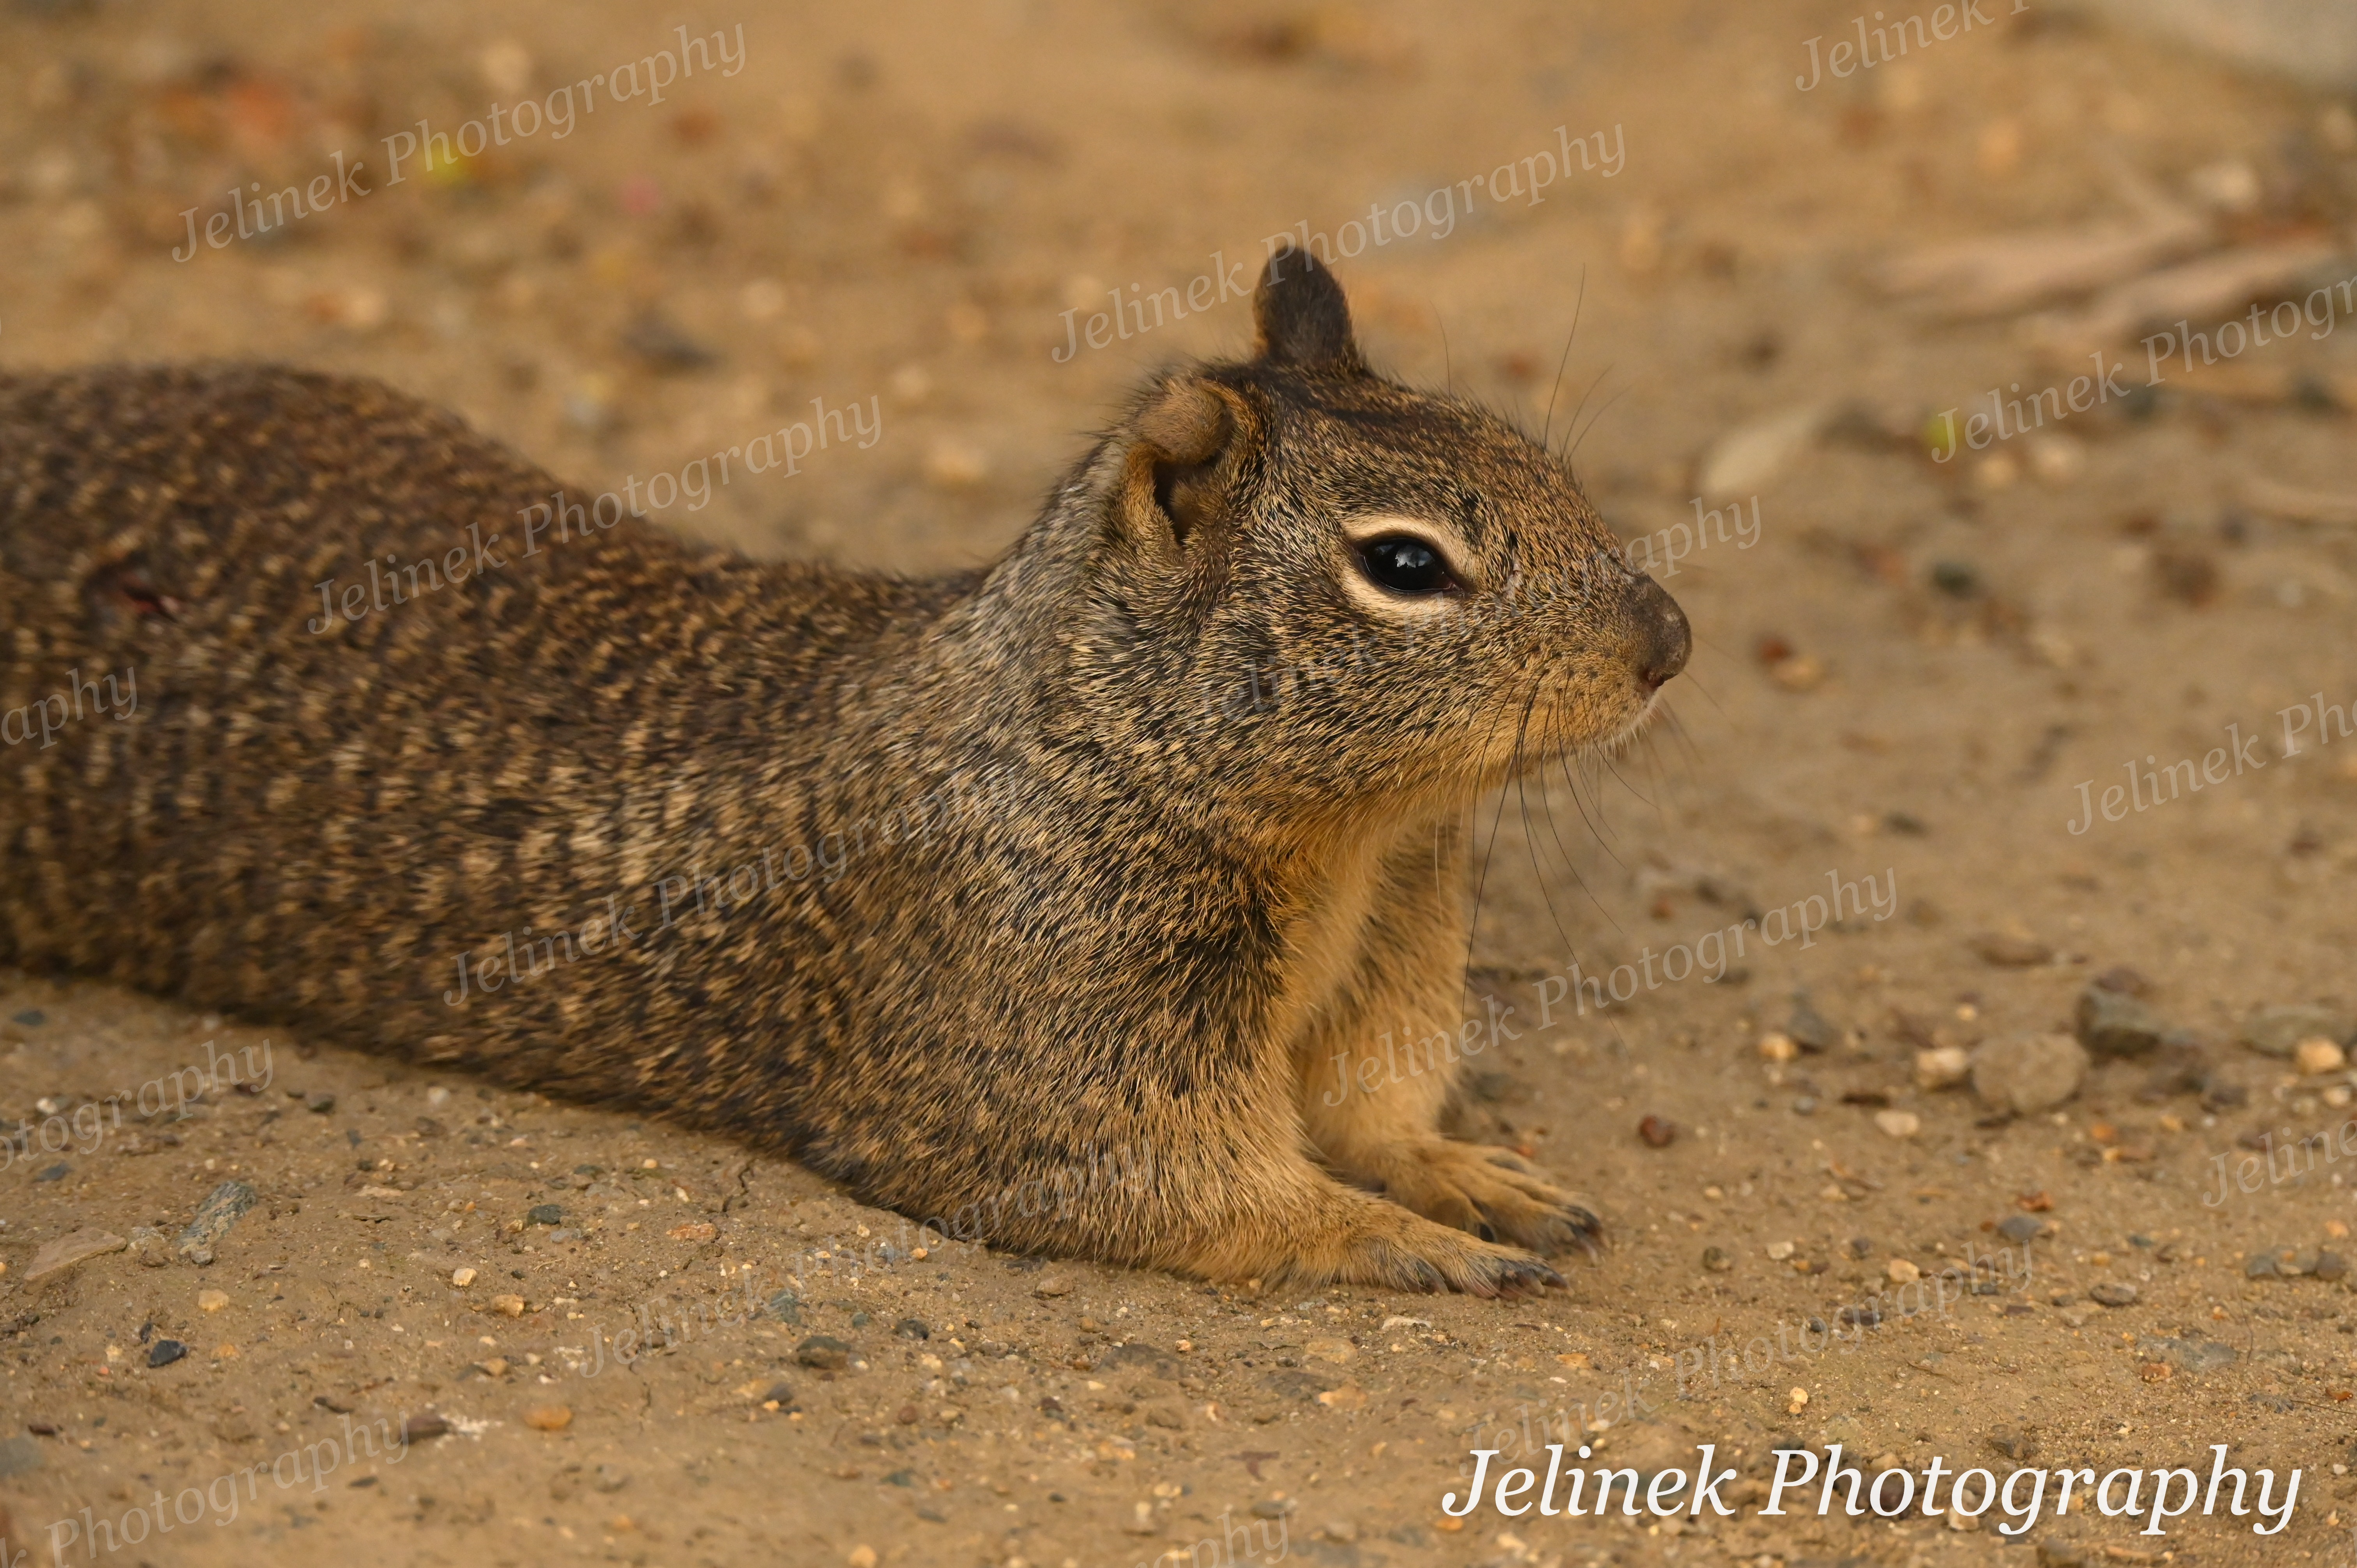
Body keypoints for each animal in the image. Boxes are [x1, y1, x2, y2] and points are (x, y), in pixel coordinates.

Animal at [0, 246, 1688, 1295]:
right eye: (1404, 565)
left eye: (1540, 459)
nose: (1668, 639)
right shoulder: (1058, 1025)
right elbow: (1204, 1189)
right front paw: (1409, 1239)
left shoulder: (1394, 946)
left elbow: (1376, 1104)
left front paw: (1469, 1177)